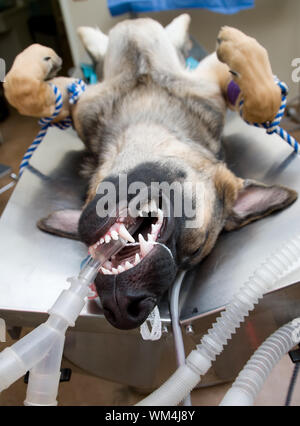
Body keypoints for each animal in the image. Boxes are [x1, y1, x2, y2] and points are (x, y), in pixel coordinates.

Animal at [4, 15, 296, 330]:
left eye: (194, 254)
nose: (126, 309)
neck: (145, 121)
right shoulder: (76, 99)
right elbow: (22, 91)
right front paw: (39, 60)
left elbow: (264, 101)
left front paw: (239, 48)